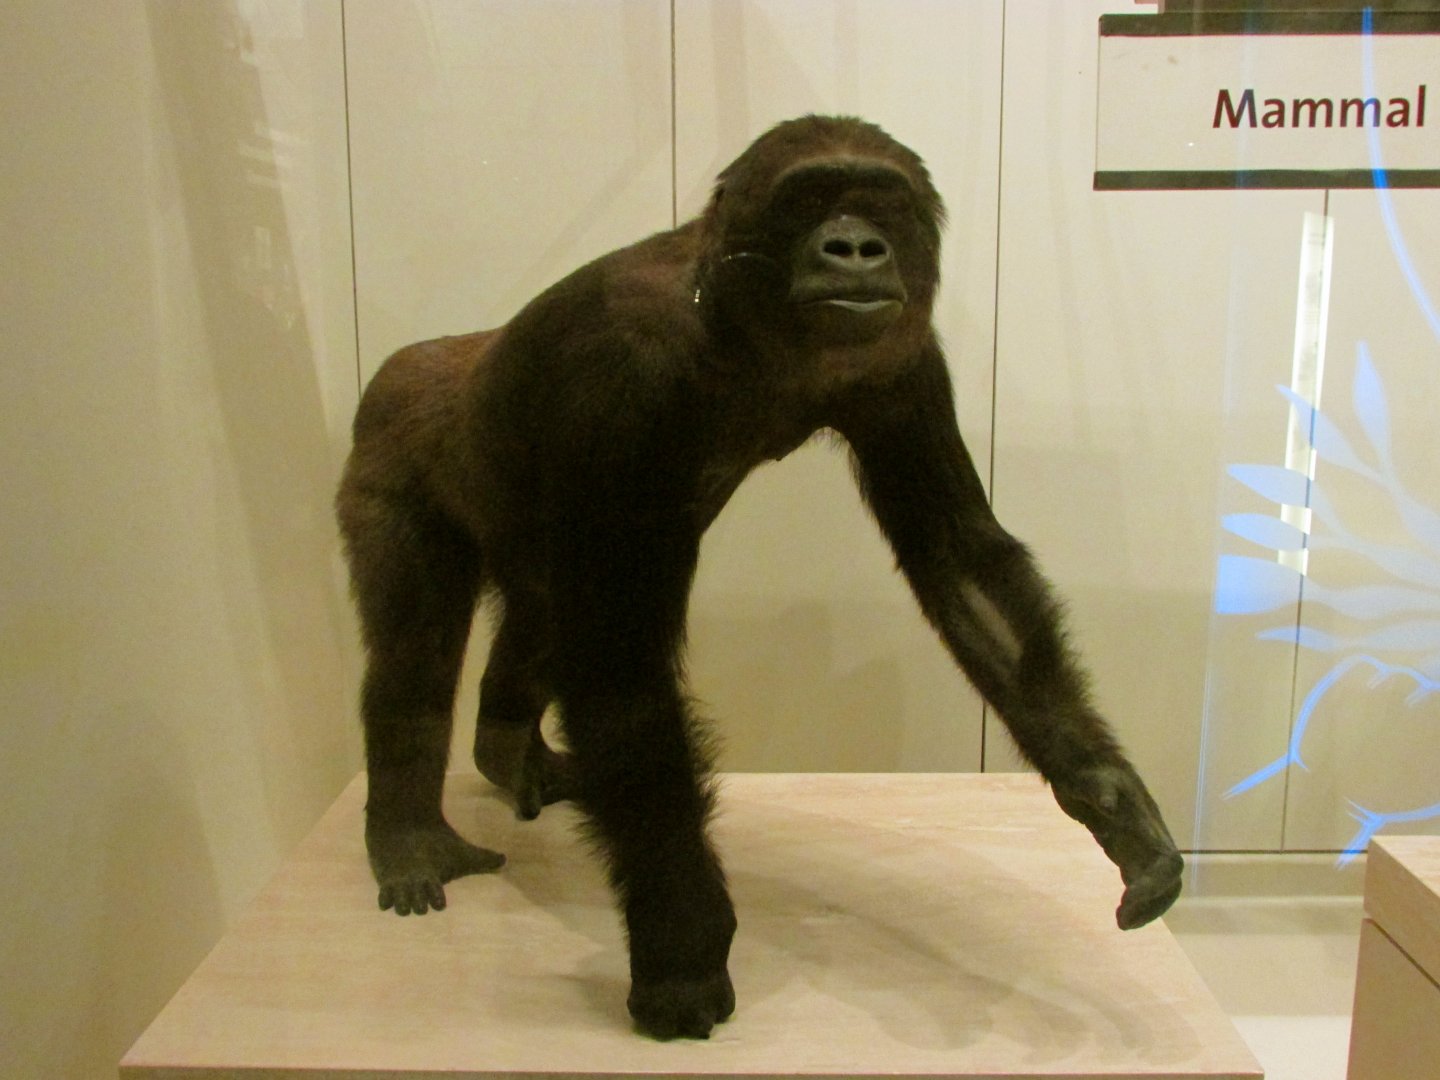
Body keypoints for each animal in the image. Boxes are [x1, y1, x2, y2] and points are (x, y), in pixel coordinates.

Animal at [335, 114, 1184, 1040]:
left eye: (879, 199)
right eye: (809, 200)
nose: (856, 245)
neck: (730, 321)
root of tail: (420, 358)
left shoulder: (903, 361)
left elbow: (961, 565)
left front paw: (1110, 799)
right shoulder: (621, 373)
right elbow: (623, 680)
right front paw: (681, 946)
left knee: (536, 618)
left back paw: (505, 750)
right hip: (388, 445)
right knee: (419, 653)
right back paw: (411, 837)